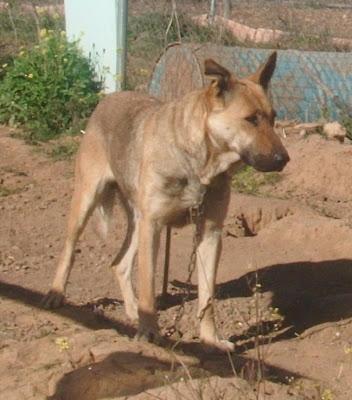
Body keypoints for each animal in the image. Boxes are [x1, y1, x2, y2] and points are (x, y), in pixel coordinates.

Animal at [43, 50, 288, 350]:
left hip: (138, 221)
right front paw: (149, 334)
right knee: (69, 248)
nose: (284, 159)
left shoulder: (210, 232)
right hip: (89, 200)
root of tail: (110, 97)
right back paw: (56, 294)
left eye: (273, 118)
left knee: (119, 264)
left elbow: (207, 297)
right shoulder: (155, 226)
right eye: (251, 119)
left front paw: (211, 339)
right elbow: (149, 287)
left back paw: (132, 311)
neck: (199, 165)